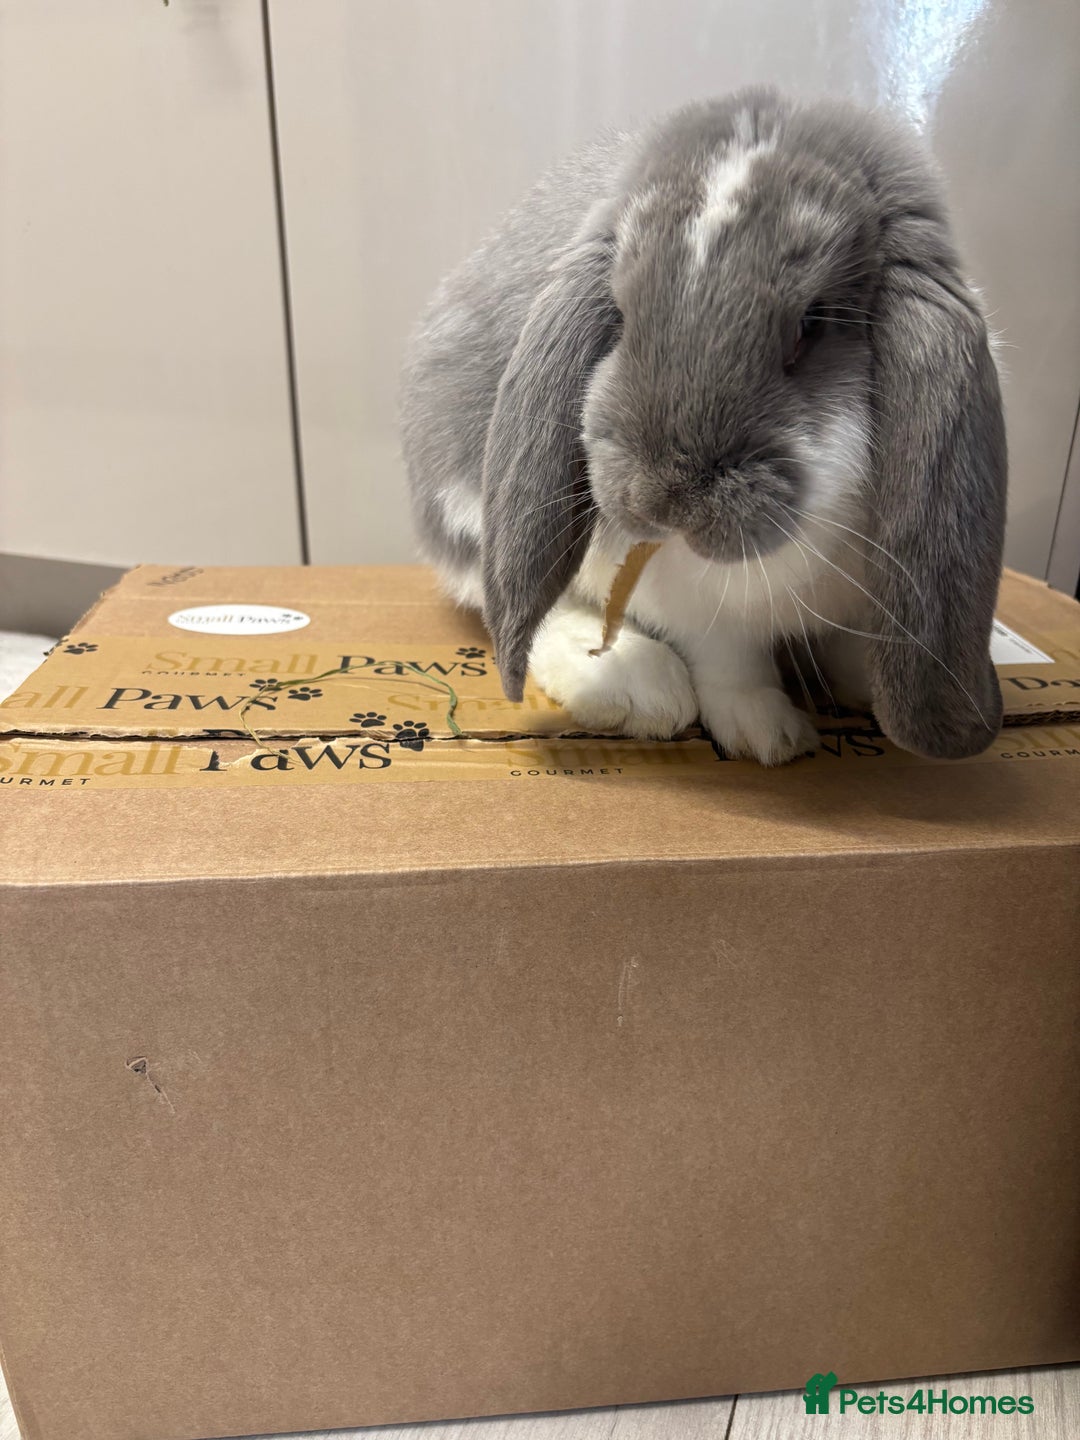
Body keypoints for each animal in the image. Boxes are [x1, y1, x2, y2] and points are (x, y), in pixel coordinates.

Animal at [400, 88, 1006, 764]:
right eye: (621, 314)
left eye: (812, 323)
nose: (663, 498)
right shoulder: (694, 602)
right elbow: (730, 659)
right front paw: (768, 732)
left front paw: (862, 683)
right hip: (471, 507)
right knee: (507, 598)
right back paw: (638, 687)